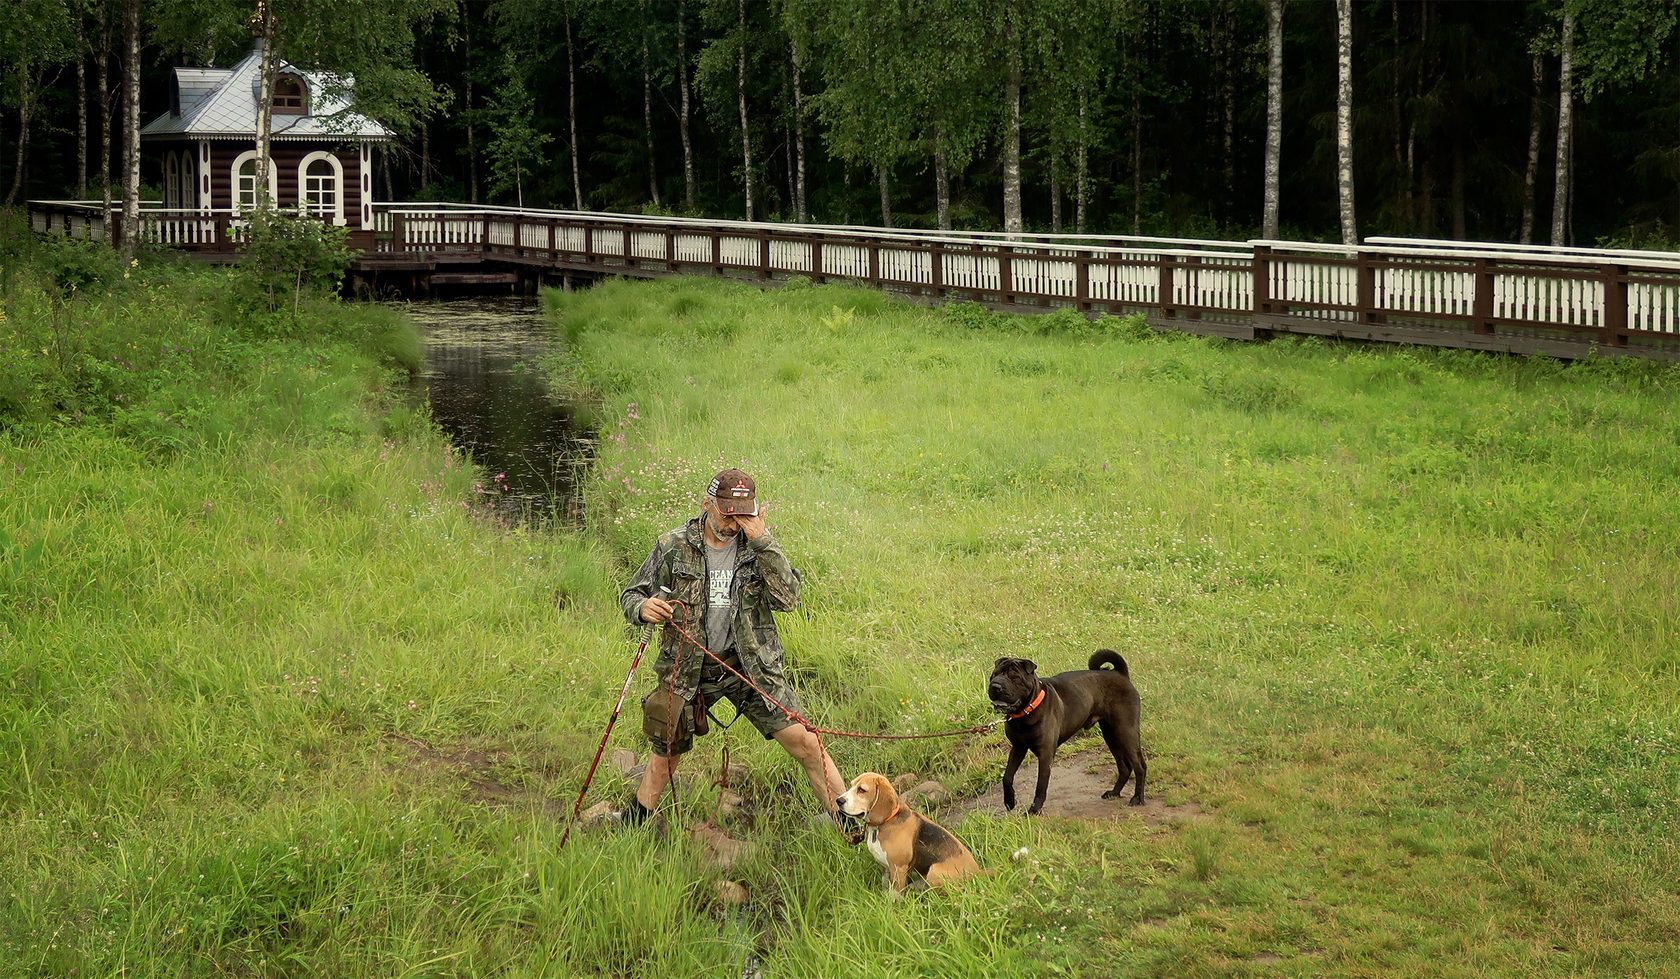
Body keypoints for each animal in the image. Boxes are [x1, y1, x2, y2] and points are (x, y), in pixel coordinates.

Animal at [981, 651, 1142, 812]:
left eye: (1014, 677)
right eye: (994, 675)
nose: (995, 685)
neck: (1024, 713)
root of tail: (1119, 674)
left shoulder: (1045, 754)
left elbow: (1041, 785)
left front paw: (1035, 808)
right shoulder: (1018, 747)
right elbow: (1007, 777)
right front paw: (1009, 801)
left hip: (1125, 732)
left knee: (1139, 765)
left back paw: (1138, 798)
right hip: (1111, 735)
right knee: (1125, 767)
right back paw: (1114, 793)